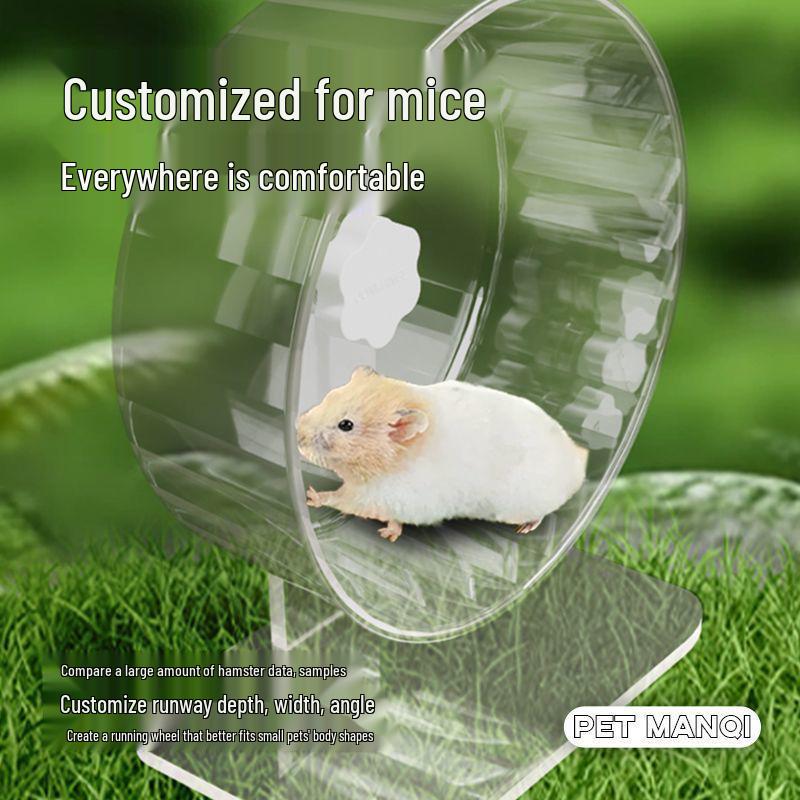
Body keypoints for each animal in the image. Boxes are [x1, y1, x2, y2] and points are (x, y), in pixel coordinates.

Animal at [296, 366, 588, 542]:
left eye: (346, 425)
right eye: (329, 396)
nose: (297, 435)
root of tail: (578, 459)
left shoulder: (376, 496)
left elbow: (340, 499)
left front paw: (310, 496)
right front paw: (389, 533)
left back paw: (525, 528)